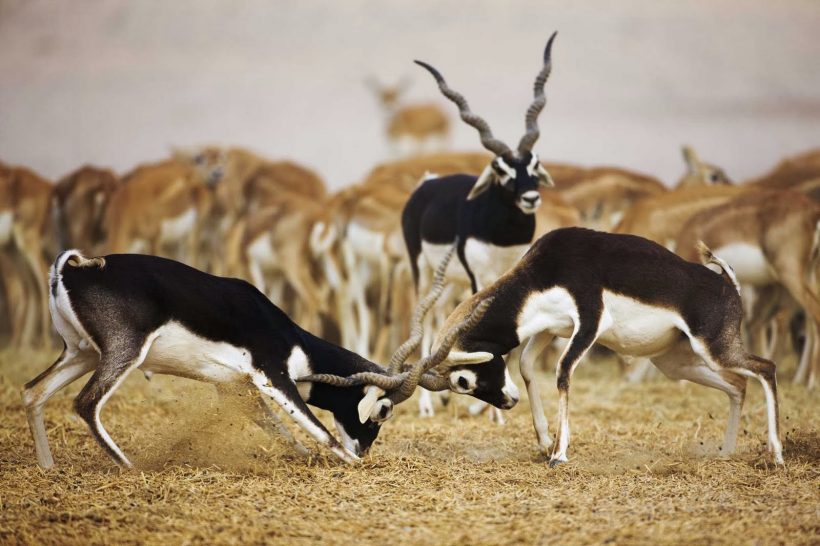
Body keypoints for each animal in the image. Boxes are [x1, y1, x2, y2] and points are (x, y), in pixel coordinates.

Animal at [22, 249, 502, 466]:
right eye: (382, 411)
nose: (364, 451)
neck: (289, 335)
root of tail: (71, 270)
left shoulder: (234, 388)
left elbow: (281, 431)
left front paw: (303, 458)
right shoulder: (273, 374)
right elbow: (317, 429)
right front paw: (344, 462)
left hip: (82, 354)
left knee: (32, 392)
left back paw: (47, 467)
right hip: (123, 352)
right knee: (85, 403)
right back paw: (131, 467)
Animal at [402, 35, 556, 416]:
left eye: (535, 163)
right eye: (501, 169)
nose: (530, 197)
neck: (501, 235)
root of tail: (428, 183)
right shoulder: (478, 276)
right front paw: (491, 414)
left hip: (449, 282)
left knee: (440, 320)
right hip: (423, 272)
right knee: (424, 321)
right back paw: (427, 406)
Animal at [426, 225, 784, 464]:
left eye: (462, 380)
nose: (508, 402)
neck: (544, 271)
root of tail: (728, 284)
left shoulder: (589, 322)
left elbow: (562, 371)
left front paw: (559, 454)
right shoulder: (550, 328)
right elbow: (526, 365)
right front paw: (544, 442)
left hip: (714, 350)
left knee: (766, 368)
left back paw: (776, 455)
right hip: (677, 362)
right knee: (738, 385)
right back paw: (726, 452)